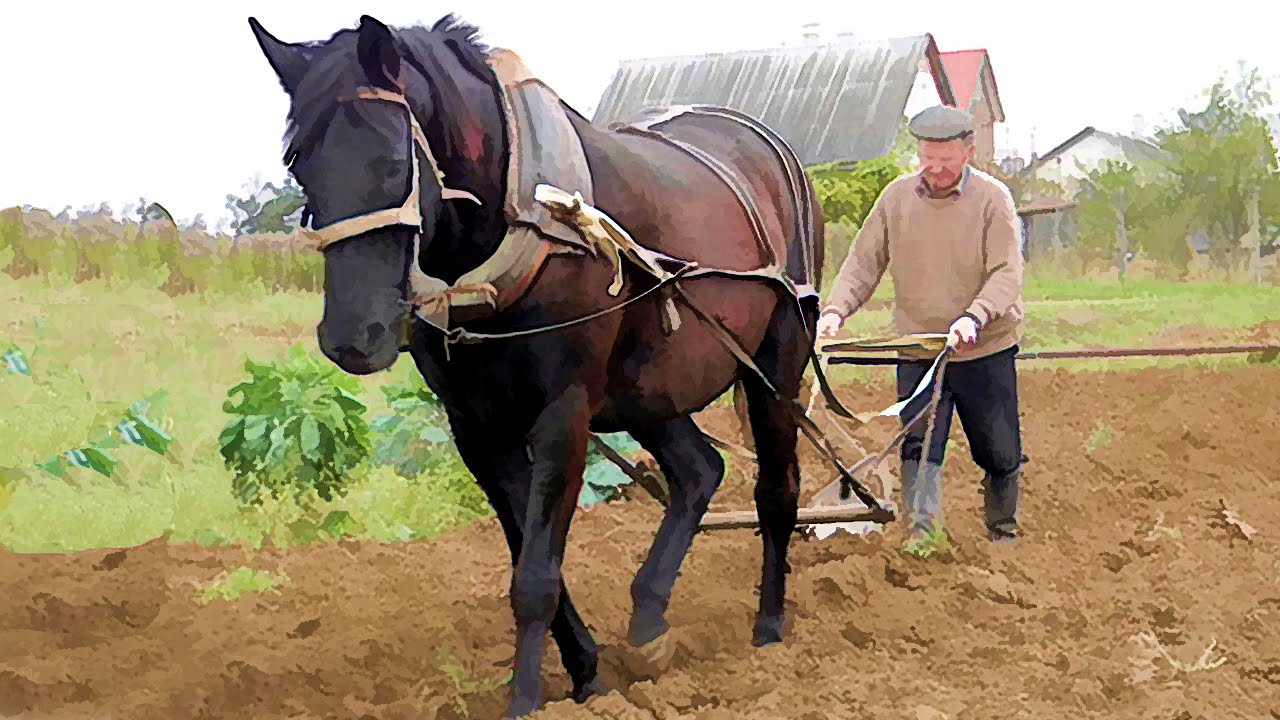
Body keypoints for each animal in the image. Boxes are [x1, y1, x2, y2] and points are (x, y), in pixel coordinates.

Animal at [247, 14, 829, 712]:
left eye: (392, 159)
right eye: (299, 165)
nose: (352, 338)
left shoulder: (563, 412)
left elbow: (536, 576)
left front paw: (525, 700)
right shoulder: (475, 426)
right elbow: (532, 555)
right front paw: (587, 676)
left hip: (776, 362)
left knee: (776, 491)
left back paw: (768, 632)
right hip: (647, 390)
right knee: (699, 471)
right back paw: (648, 624)